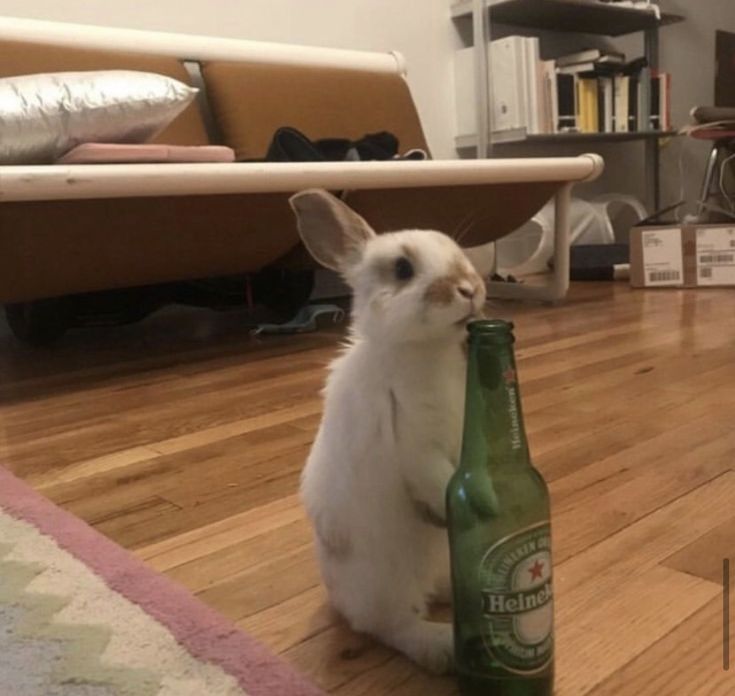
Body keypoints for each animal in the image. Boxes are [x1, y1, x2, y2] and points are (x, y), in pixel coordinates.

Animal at [288, 189, 489, 674]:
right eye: (402, 269)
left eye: (456, 249)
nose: (470, 289)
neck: (426, 353)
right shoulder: (415, 447)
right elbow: (440, 481)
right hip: (386, 582)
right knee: (392, 626)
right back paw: (442, 647)